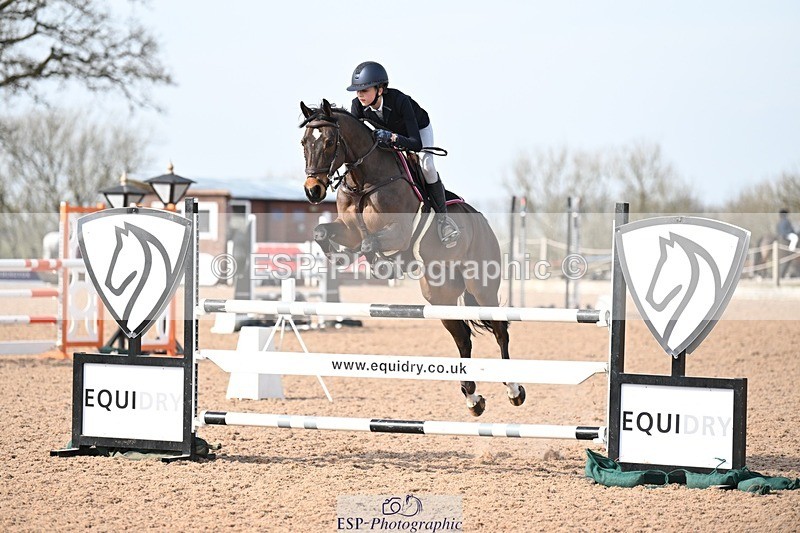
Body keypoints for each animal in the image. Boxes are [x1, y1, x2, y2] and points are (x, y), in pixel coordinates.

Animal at [298, 99, 523, 416]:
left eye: (330, 142)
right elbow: (324, 232)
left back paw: (513, 389)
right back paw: (472, 397)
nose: (313, 190)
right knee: (462, 337)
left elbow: (369, 243)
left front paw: (380, 264)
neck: (364, 181)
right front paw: (340, 257)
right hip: (439, 295)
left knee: (500, 329)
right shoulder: (348, 229)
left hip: (481, 286)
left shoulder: (399, 234)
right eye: (304, 142)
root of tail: (482, 220)